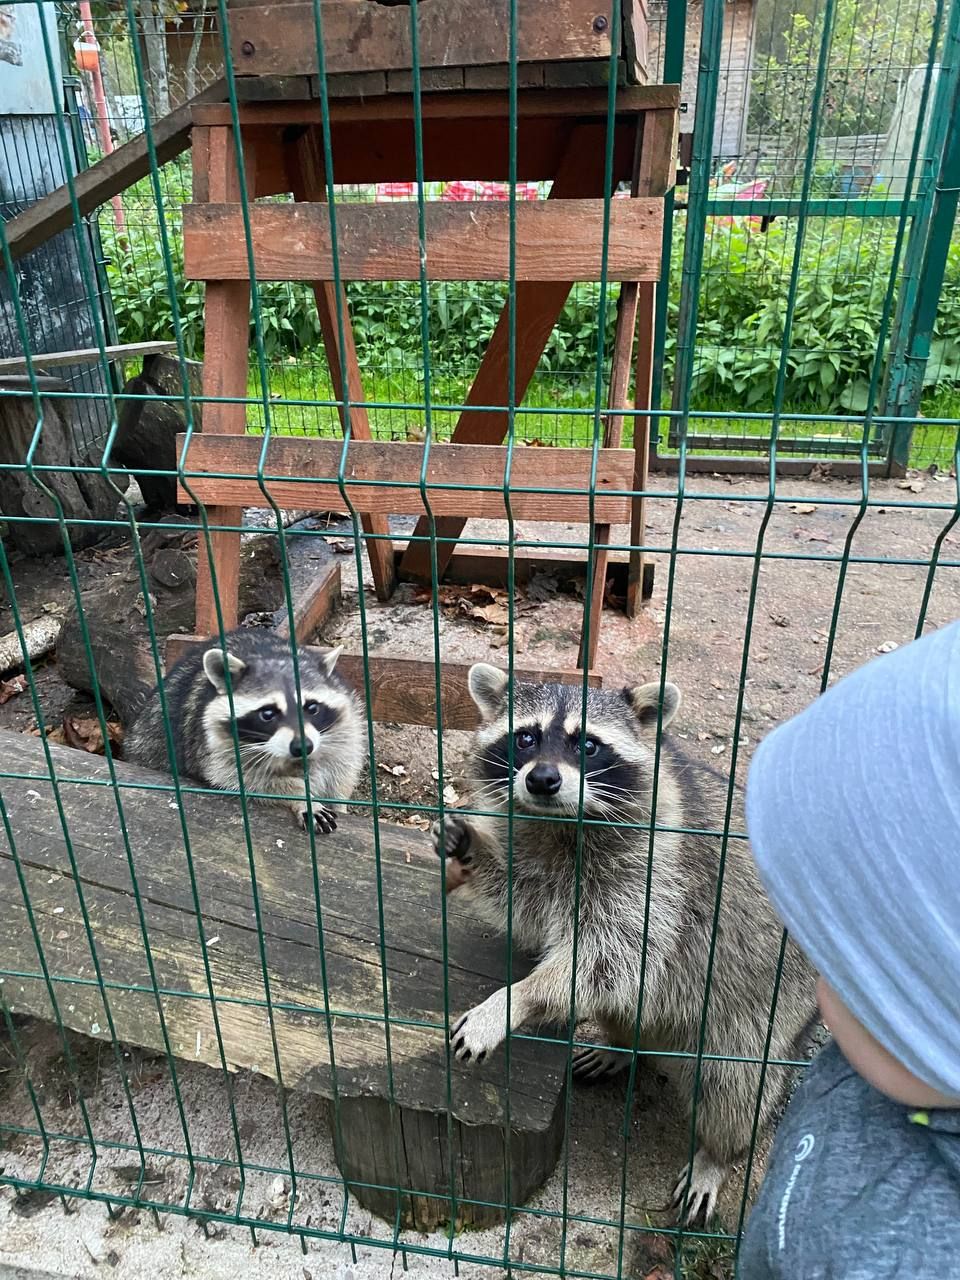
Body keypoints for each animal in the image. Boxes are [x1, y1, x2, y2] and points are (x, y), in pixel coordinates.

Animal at [126, 627, 366, 829]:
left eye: (312, 707)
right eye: (268, 714)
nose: (302, 747)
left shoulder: (346, 724)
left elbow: (341, 769)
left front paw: (338, 803)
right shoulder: (212, 743)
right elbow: (241, 779)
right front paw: (302, 797)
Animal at [435, 665, 819, 1223]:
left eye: (588, 745)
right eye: (526, 737)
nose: (542, 779)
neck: (564, 822)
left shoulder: (658, 870)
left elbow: (612, 955)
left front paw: (514, 1000)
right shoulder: (541, 856)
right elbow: (529, 904)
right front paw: (471, 852)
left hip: (765, 1012)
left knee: (734, 1087)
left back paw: (717, 1153)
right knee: (625, 1009)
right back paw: (622, 1045)